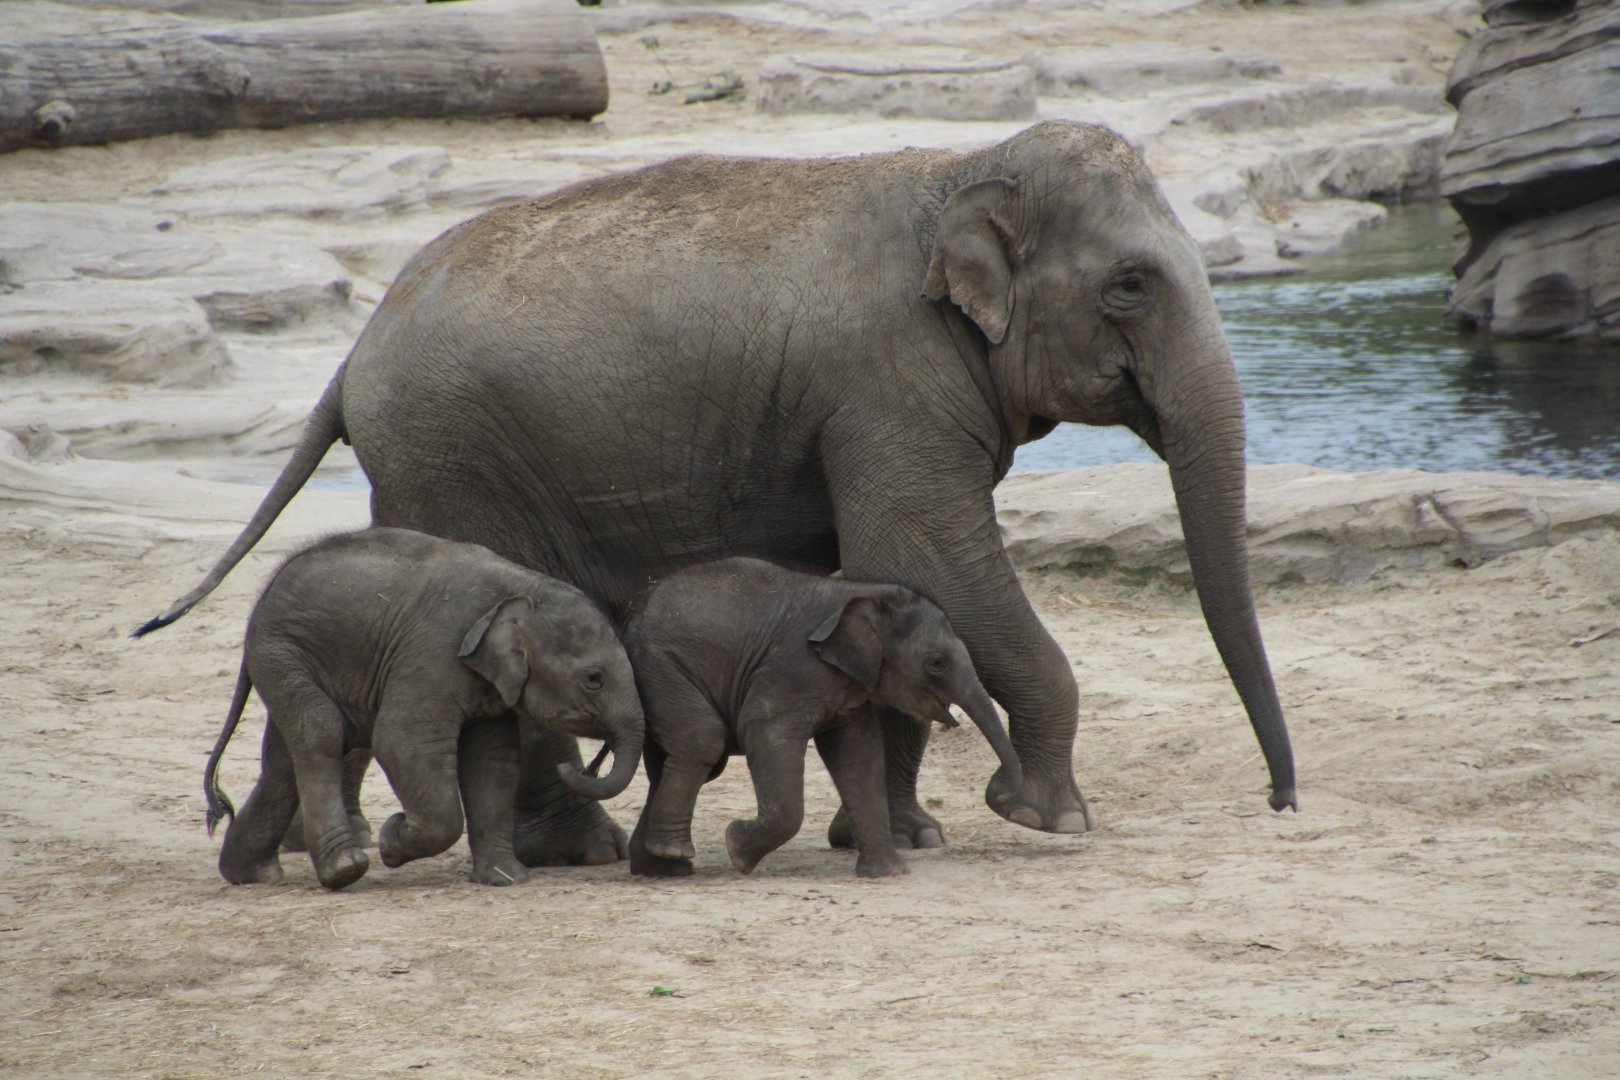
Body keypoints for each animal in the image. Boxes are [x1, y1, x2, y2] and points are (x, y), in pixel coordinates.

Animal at [204, 528, 644, 890]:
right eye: (594, 679)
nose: (579, 767)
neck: (520, 586)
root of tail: (261, 600)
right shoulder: (433, 652)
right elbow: (400, 740)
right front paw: (391, 841)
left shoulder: (488, 680)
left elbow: (493, 760)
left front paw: (505, 879)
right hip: (282, 653)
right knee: (321, 732)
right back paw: (344, 869)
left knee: (282, 761)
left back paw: (252, 874)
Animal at [623, 557, 1025, 879]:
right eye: (937, 663)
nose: (1006, 793)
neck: (860, 592)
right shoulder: (792, 668)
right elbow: (765, 731)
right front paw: (736, 848)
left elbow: (859, 755)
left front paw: (888, 874)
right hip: (661, 667)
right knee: (703, 742)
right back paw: (672, 855)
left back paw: (663, 867)